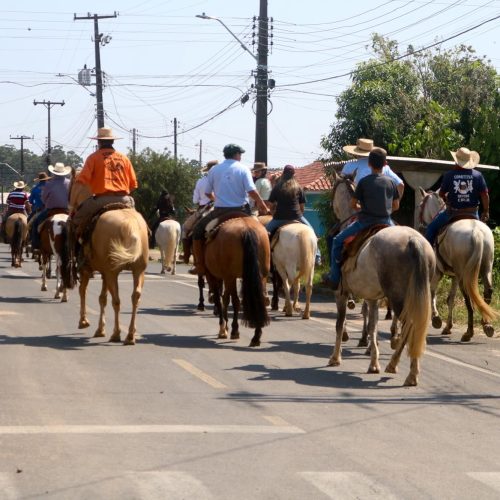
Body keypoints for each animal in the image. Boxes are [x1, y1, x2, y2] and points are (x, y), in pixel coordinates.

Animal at [63, 175, 148, 344]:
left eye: (71, 188)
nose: (70, 209)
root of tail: (130, 225)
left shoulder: (87, 269)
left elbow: (84, 291)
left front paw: (84, 321)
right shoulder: (104, 272)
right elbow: (102, 298)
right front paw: (100, 329)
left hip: (112, 272)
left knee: (117, 301)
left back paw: (116, 333)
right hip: (137, 270)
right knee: (135, 297)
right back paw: (130, 335)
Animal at [203, 215, 270, 348]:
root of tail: (247, 228)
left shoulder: (215, 276)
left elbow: (221, 299)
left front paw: (223, 328)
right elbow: (225, 298)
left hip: (230, 276)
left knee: (234, 301)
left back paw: (235, 330)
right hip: (261, 276)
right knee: (259, 300)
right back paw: (256, 336)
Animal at [418, 186, 496, 342]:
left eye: (420, 205)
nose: (420, 223)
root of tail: (476, 232)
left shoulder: (438, 272)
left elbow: (432, 291)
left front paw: (436, 319)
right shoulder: (454, 275)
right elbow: (451, 299)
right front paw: (447, 326)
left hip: (462, 274)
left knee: (468, 298)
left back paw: (469, 332)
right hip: (485, 266)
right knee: (487, 291)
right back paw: (486, 324)